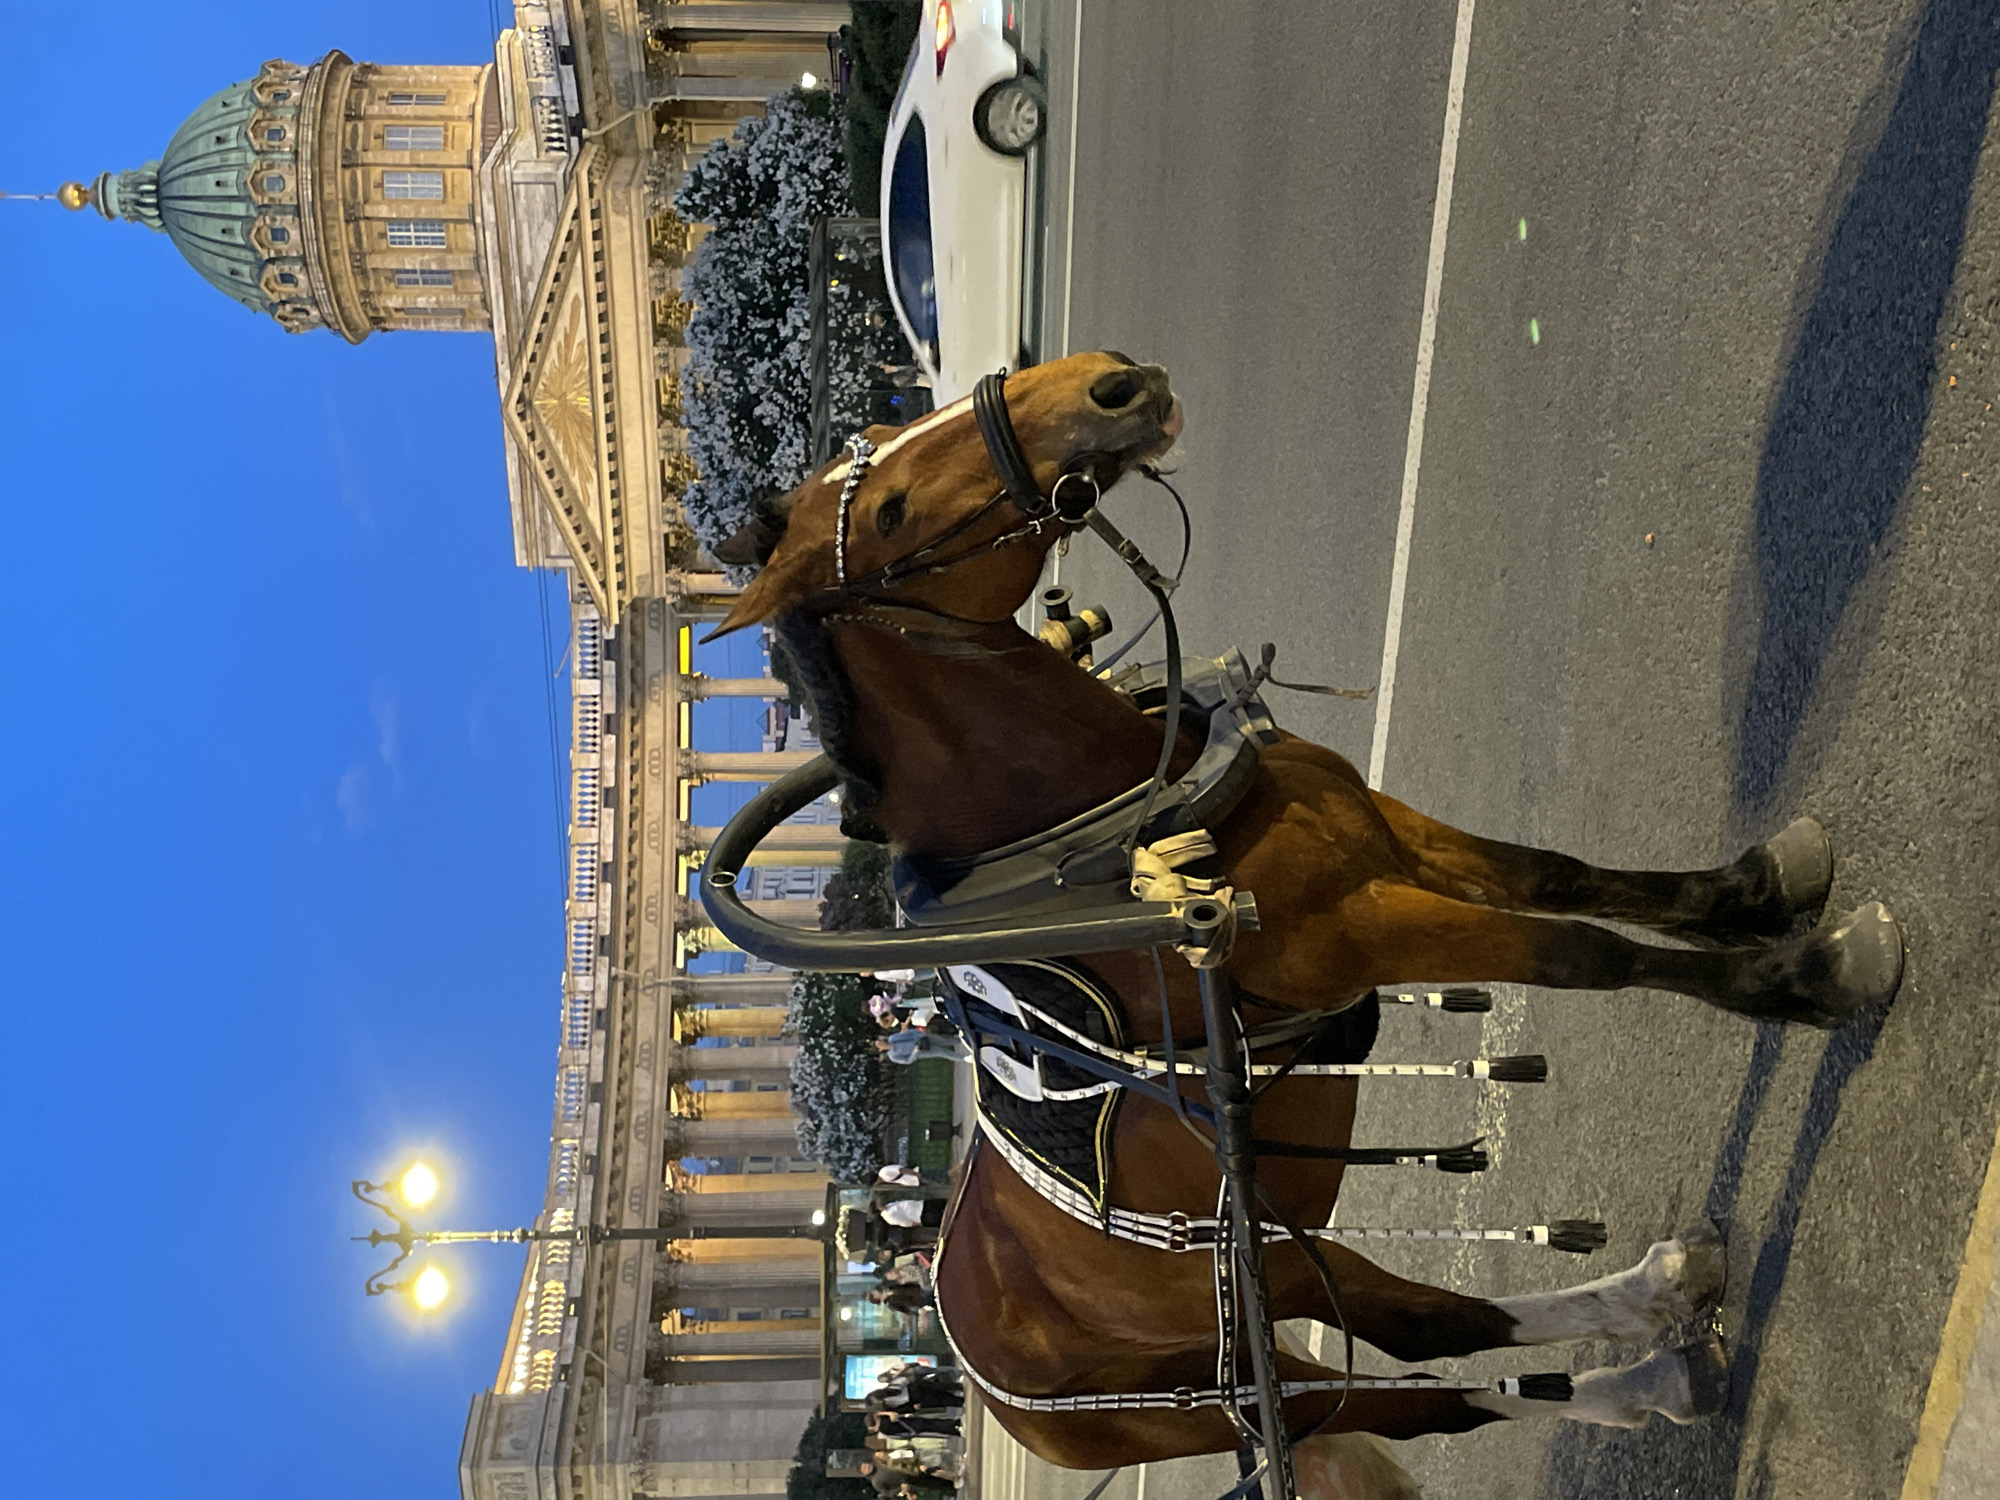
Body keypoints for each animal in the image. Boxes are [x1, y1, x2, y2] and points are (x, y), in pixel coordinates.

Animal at [707, 351, 1903, 1488]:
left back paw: (1652, 1315)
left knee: (1414, 1331)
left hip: (1256, 1299)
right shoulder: (1359, 927)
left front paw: (1757, 891)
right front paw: (1807, 979)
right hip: (1215, 1364)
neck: (1100, 811)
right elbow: (1583, 953)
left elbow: (1568, 880)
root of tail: (980, 1365)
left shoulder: (1390, 839)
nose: (1111, 384)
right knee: (1427, 1367)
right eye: (892, 510)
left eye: (879, 436)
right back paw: (1646, 1363)